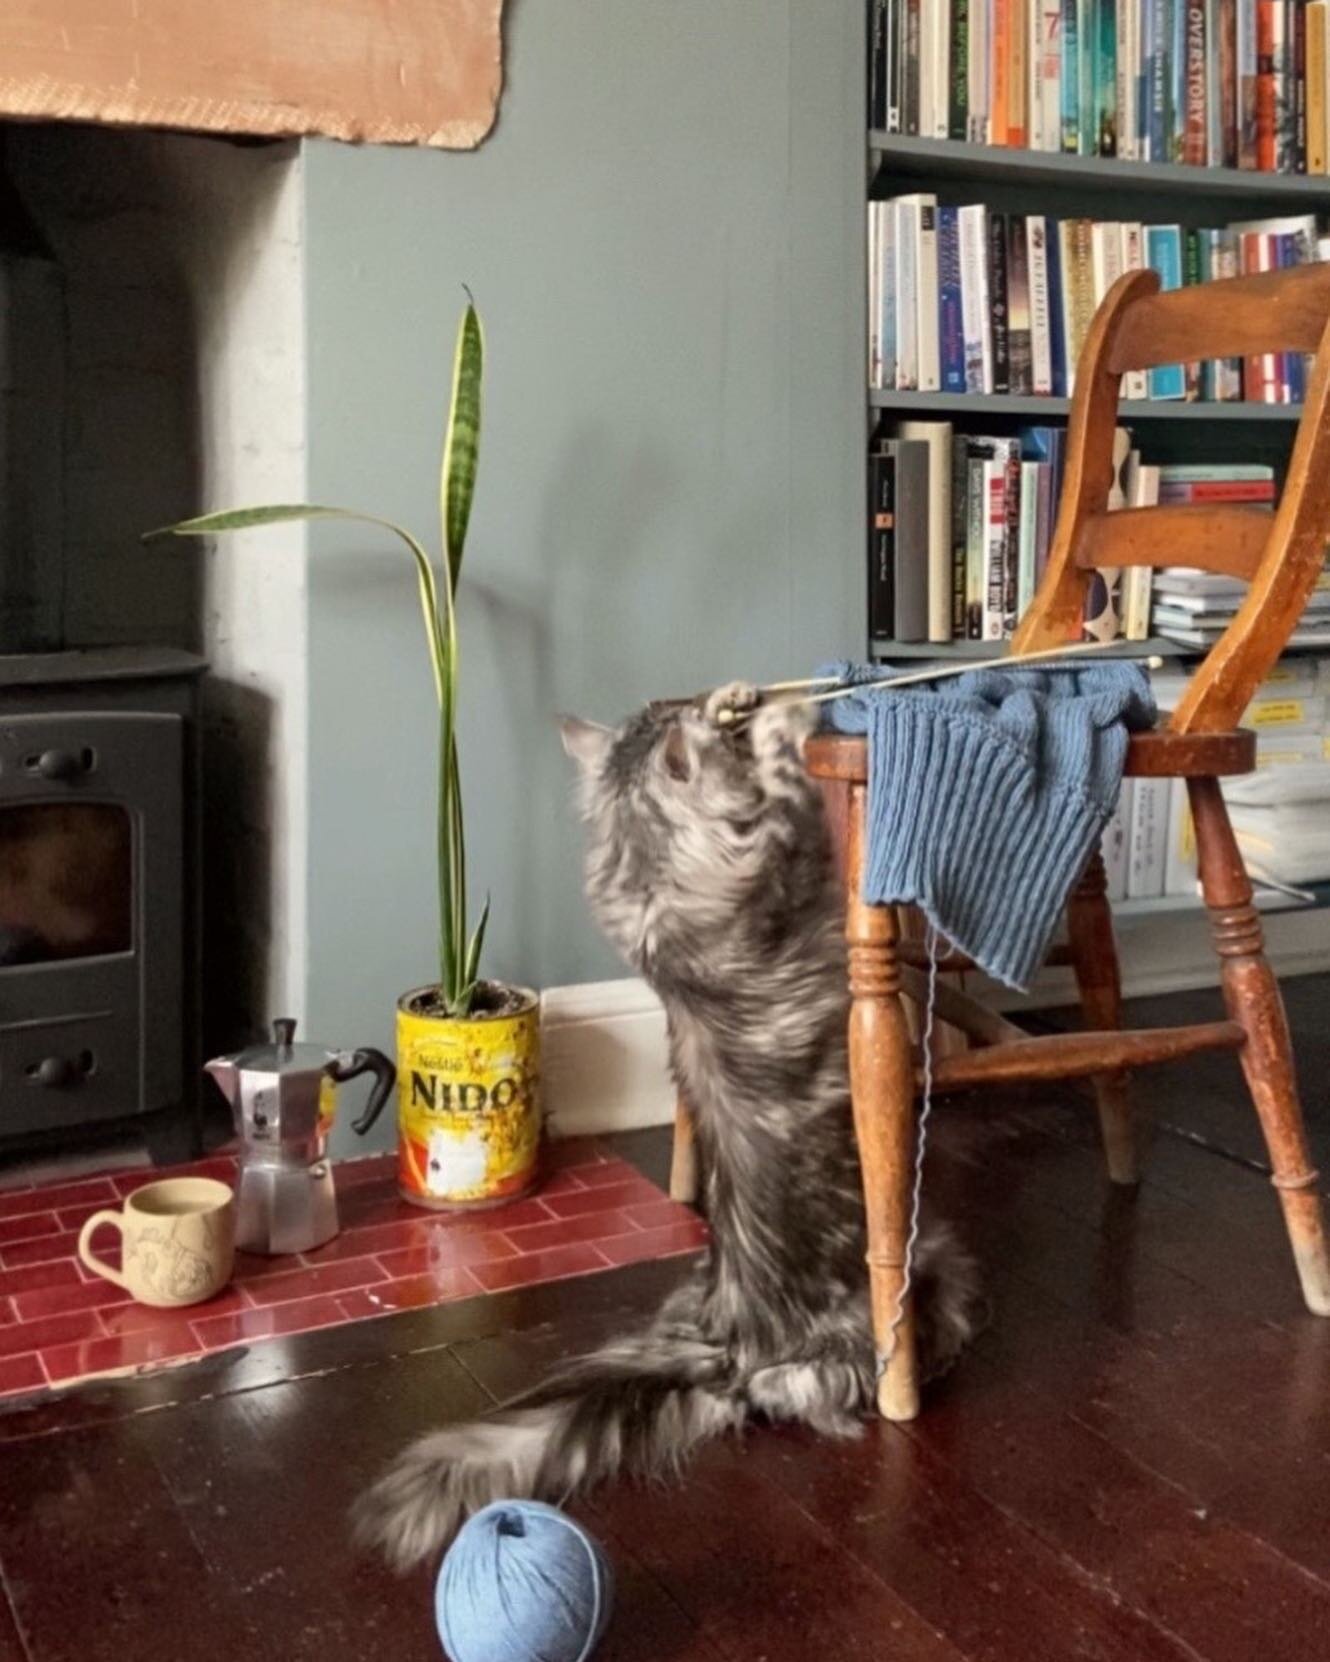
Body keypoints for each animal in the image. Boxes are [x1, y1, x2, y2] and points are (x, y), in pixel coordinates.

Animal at [352, 681, 977, 1562]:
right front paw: (781, 720)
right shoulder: (787, 845)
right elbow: (784, 783)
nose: (695, 700)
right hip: (927, 1273)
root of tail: (730, 1346)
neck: (649, 863)